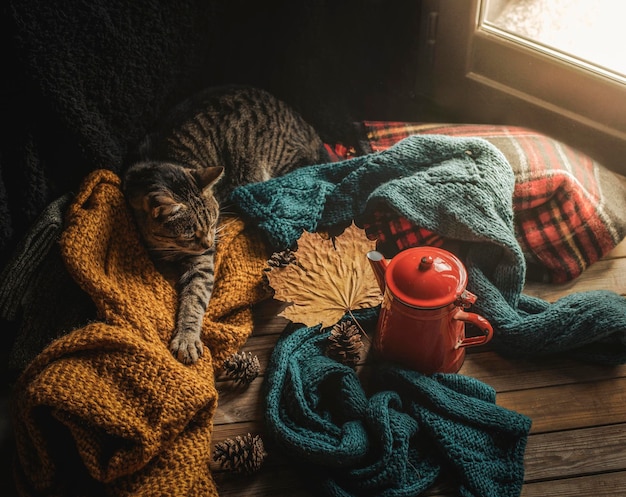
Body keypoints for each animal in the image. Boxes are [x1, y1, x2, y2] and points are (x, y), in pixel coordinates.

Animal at [121, 85, 326, 364]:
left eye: (212, 223)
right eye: (189, 235)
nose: (209, 241)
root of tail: (306, 125)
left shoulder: (201, 261)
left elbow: (194, 297)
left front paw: (186, 338)